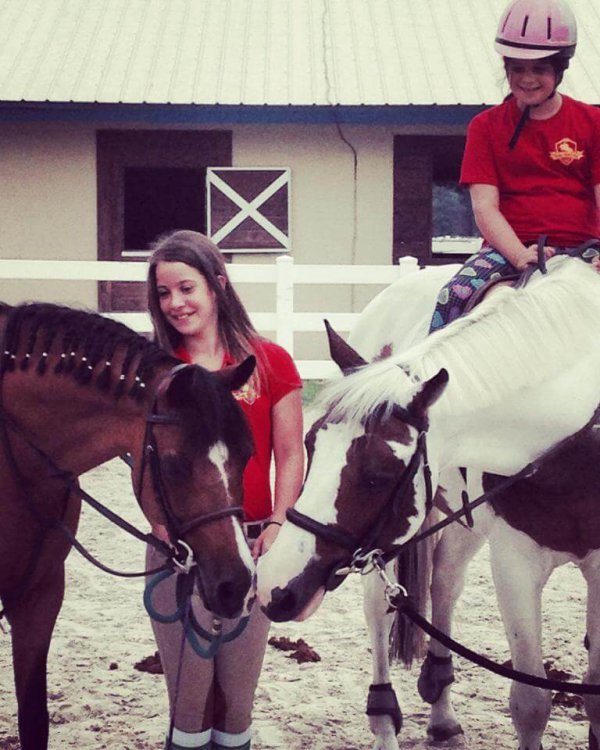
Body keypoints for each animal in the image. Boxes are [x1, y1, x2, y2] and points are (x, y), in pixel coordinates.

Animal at [258, 258, 600, 750]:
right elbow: (531, 705)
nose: (274, 585)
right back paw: (385, 719)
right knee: (379, 607)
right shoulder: (516, 560)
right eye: (310, 444)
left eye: (379, 474)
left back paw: (441, 709)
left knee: (445, 584)